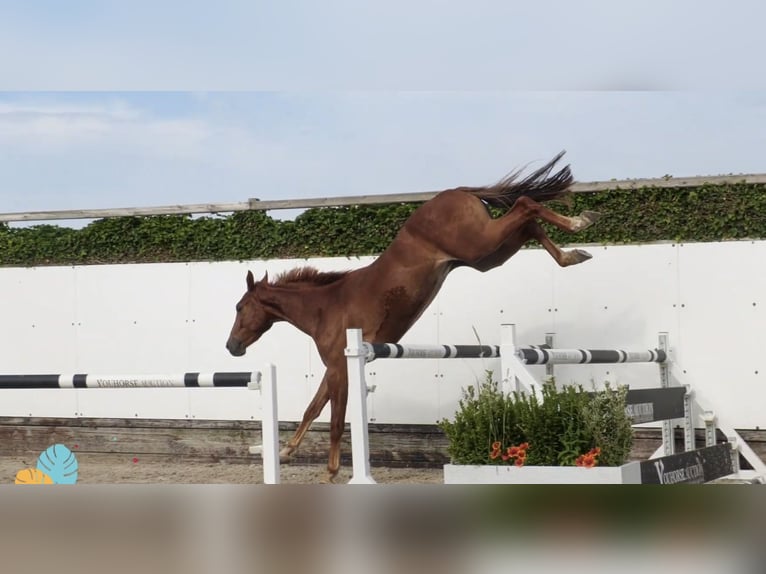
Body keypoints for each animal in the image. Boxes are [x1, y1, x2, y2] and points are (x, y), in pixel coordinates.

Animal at [226, 151, 599, 482]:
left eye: (240, 308)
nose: (232, 346)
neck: (325, 307)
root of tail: (458, 191)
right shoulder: (334, 368)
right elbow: (312, 409)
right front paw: (285, 453)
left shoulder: (340, 368)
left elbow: (335, 420)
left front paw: (330, 472)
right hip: (488, 256)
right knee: (530, 224)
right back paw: (573, 252)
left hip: (480, 244)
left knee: (525, 205)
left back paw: (579, 222)